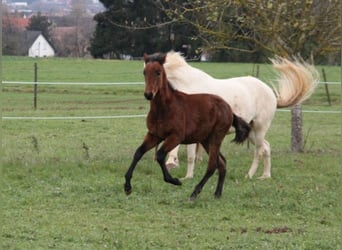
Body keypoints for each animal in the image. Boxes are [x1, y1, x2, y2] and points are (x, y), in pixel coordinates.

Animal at [124, 52, 250, 199]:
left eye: (158, 72)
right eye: (144, 72)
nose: (148, 94)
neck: (164, 109)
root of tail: (229, 108)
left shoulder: (176, 137)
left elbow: (160, 155)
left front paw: (175, 180)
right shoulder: (154, 135)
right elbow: (138, 152)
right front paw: (127, 186)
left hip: (216, 137)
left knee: (212, 165)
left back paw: (195, 193)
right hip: (206, 140)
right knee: (222, 163)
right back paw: (217, 194)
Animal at [163, 51, 318, 179]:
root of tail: (270, 93)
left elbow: (189, 154)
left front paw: (180, 170)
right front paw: (183, 172)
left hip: (259, 129)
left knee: (259, 151)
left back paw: (249, 175)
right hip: (250, 132)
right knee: (266, 147)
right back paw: (265, 176)